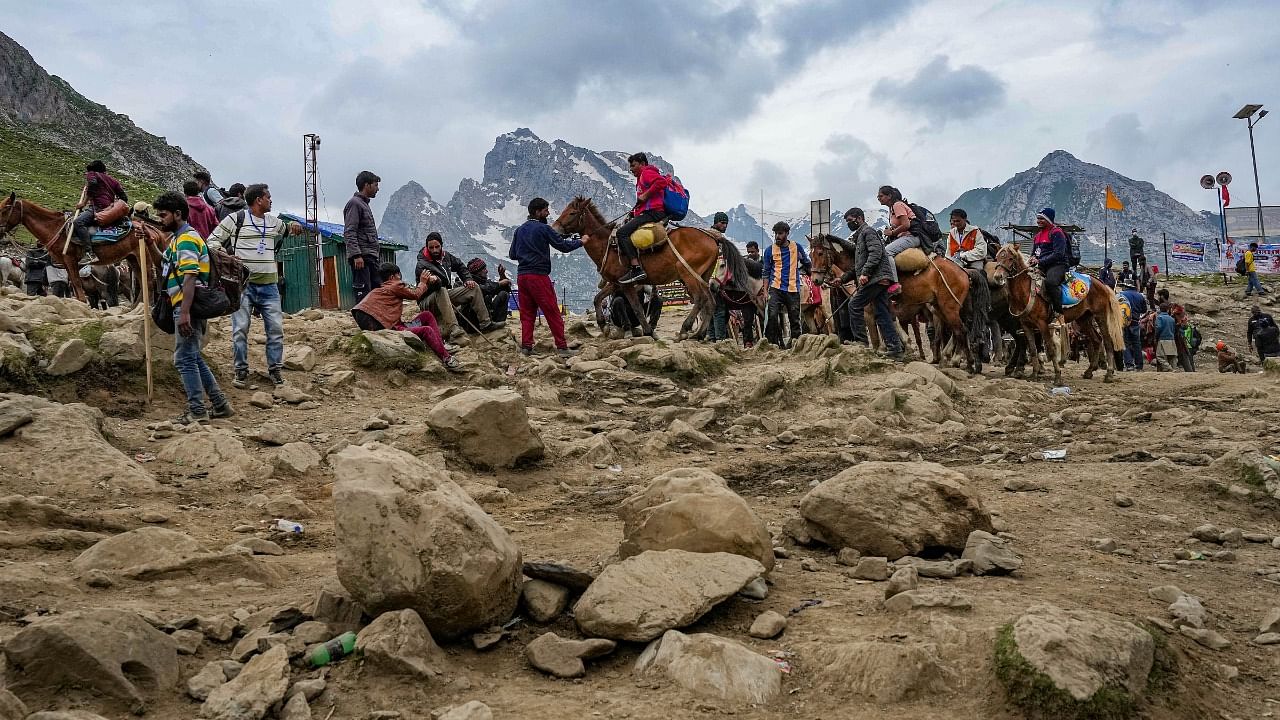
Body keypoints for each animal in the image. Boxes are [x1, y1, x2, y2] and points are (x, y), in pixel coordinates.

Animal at [0, 190, 163, 302]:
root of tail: (151, 230)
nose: (0, 232)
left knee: (148, 282)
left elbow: (77, 284)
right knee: (142, 283)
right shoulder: (66, 263)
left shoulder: (71, 259)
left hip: (144, 257)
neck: (56, 228)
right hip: (132, 258)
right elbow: (75, 284)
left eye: (5, 209)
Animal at [988, 240, 1121, 384]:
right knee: (1096, 340)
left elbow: (1051, 350)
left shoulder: (1042, 324)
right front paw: (1034, 374)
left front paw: (1057, 376)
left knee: (1107, 341)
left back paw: (1109, 373)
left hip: (1100, 316)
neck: (1026, 291)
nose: (998, 277)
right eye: (997, 257)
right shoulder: (1026, 325)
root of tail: (1102, 284)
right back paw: (1090, 371)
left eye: (1011, 258)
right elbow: (1033, 349)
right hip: (1083, 319)